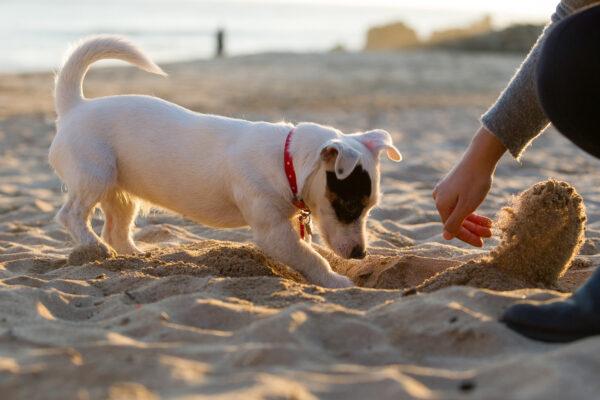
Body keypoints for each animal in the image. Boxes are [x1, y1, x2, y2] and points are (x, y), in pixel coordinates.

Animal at [49, 36, 400, 288]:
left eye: (369, 208)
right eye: (349, 206)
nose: (361, 254)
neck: (285, 162)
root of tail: (75, 107)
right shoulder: (274, 232)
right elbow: (312, 258)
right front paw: (336, 280)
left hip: (121, 192)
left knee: (116, 229)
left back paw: (134, 256)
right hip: (95, 175)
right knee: (71, 215)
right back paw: (93, 247)